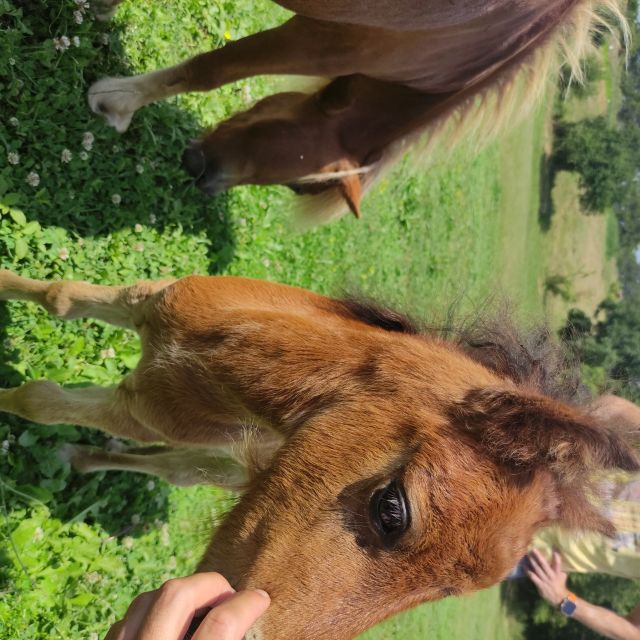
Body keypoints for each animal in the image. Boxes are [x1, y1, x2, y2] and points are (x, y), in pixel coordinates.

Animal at [0, 268, 637, 639]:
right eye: (391, 510)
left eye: (445, 595)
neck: (222, 355)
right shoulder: (150, 302)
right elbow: (56, 308)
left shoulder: (140, 409)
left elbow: (37, 400)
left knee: (176, 468)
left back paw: (83, 458)